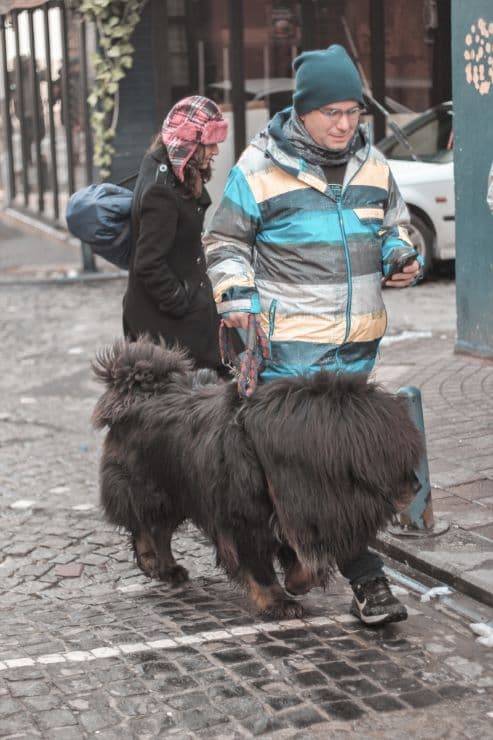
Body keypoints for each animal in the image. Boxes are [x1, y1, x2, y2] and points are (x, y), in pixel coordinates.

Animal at [91, 338, 418, 616]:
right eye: (384, 463)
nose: (416, 485)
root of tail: (137, 391)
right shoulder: (242, 523)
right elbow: (260, 569)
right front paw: (278, 601)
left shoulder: (293, 512)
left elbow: (306, 560)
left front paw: (298, 582)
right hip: (151, 487)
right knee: (146, 525)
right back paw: (152, 562)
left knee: (161, 531)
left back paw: (169, 568)